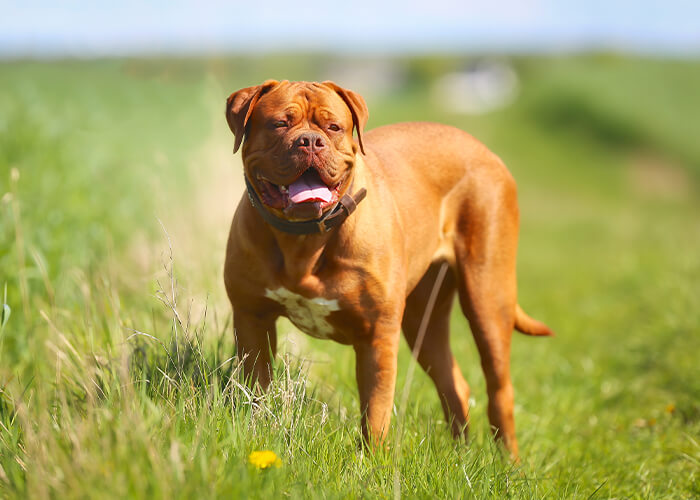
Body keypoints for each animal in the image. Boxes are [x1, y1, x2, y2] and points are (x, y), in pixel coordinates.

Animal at [224, 79, 552, 458]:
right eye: (279, 123)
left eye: (333, 127)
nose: (310, 141)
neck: (303, 239)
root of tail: (484, 150)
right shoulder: (252, 318)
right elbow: (256, 390)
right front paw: (255, 433)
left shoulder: (377, 335)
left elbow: (376, 410)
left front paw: (370, 461)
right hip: (423, 320)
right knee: (453, 382)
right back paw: (461, 455)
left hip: (487, 298)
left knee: (500, 388)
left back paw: (508, 462)